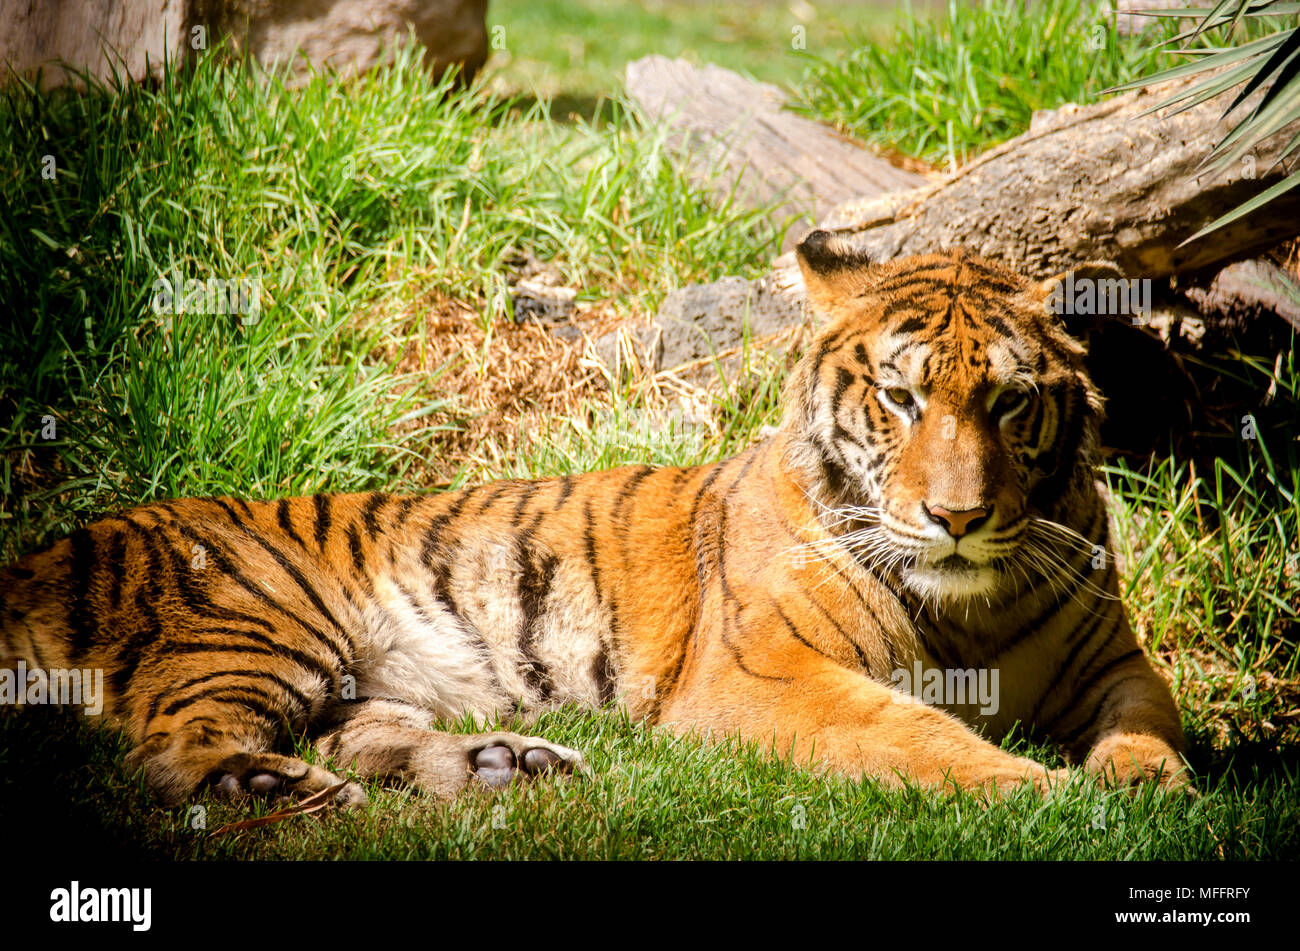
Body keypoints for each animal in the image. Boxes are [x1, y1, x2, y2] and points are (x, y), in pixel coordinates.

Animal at [0, 232, 1190, 808]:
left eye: (1008, 402)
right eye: (900, 399)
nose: (956, 517)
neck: (967, 609)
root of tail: (45, 550)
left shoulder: (1115, 660)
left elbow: (1154, 725)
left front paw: (1143, 785)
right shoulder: (767, 676)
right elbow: (917, 733)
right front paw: (1039, 794)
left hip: (344, 681)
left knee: (368, 737)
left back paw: (505, 766)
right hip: (252, 627)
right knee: (169, 750)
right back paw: (268, 790)